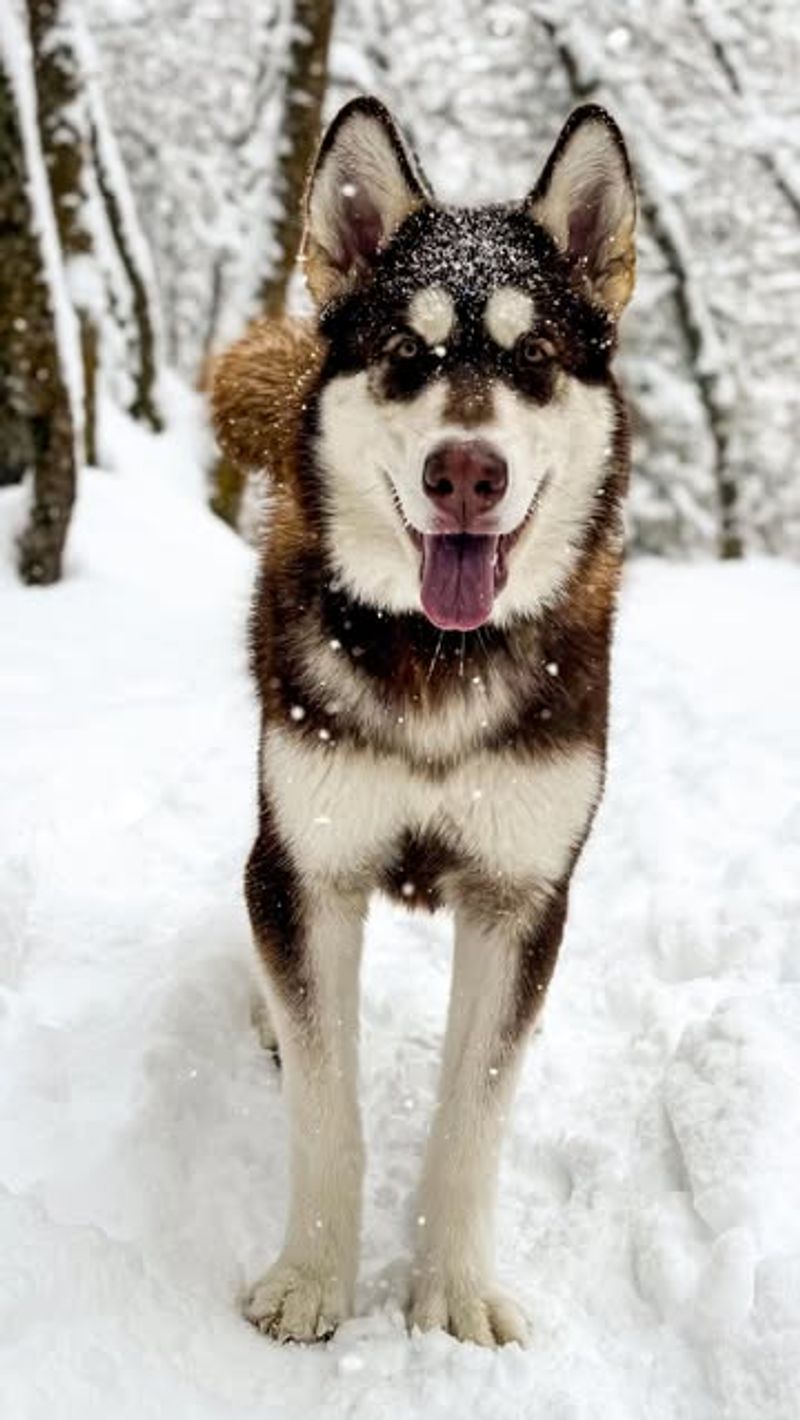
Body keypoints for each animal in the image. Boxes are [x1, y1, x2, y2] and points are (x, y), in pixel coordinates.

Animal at [213, 97, 639, 1340]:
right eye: (407, 355)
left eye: (534, 359)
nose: (465, 473)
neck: (437, 659)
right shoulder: (308, 865)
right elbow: (327, 1104)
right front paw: (311, 1278)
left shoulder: (520, 893)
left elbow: (471, 1116)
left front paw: (449, 1293)